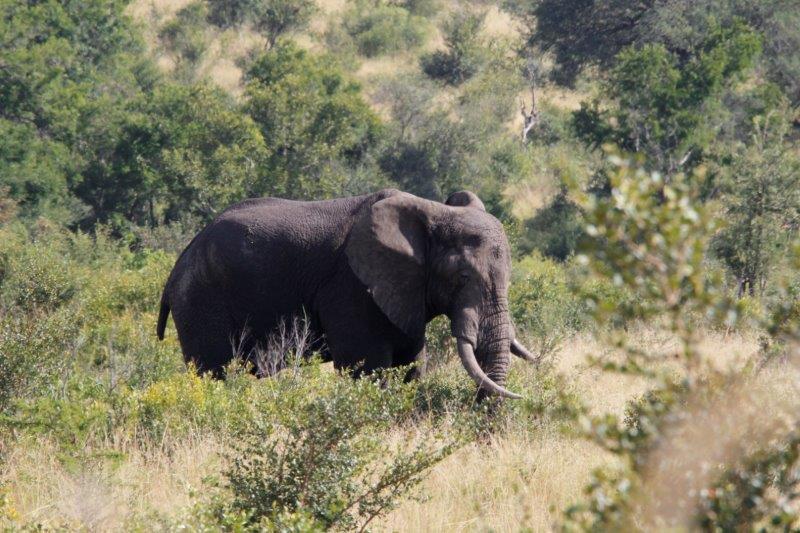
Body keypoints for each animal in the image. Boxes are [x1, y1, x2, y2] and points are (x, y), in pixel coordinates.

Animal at [156, 188, 537, 399]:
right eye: (462, 276)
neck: (433, 213)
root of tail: (178, 264)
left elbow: (412, 365)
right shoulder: (350, 287)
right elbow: (367, 367)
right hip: (201, 303)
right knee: (213, 374)